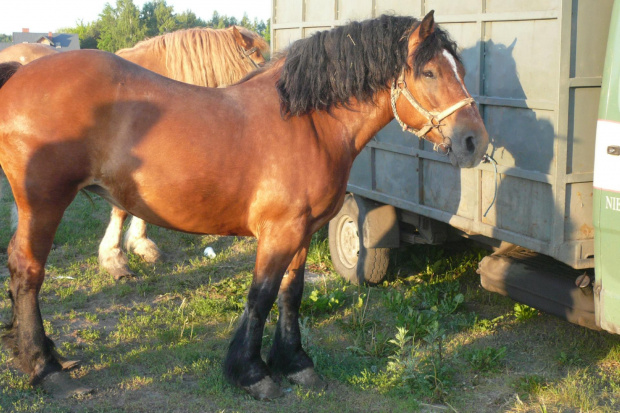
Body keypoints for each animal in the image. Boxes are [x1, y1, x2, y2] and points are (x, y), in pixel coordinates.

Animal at [0, 12, 486, 400]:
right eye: (429, 73)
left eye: (460, 69)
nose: (474, 142)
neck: (307, 123)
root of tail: (18, 75)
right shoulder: (278, 232)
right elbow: (261, 296)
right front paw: (253, 373)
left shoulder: (302, 232)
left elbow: (292, 293)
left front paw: (295, 363)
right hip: (44, 203)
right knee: (27, 272)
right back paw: (46, 368)